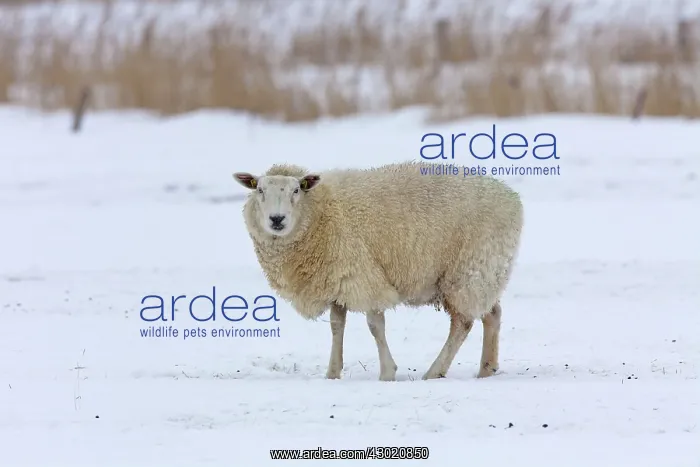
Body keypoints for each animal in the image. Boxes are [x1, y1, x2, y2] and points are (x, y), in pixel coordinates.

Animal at [232, 161, 523, 381]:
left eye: (296, 190)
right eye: (260, 190)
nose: (277, 219)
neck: (321, 213)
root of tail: (512, 197)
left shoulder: (362, 273)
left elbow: (374, 325)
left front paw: (387, 373)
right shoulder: (338, 278)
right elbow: (337, 326)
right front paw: (333, 372)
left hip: (470, 268)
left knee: (463, 323)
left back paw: (435, 372)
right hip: (486, 271)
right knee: (492, 314)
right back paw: (486, 369)